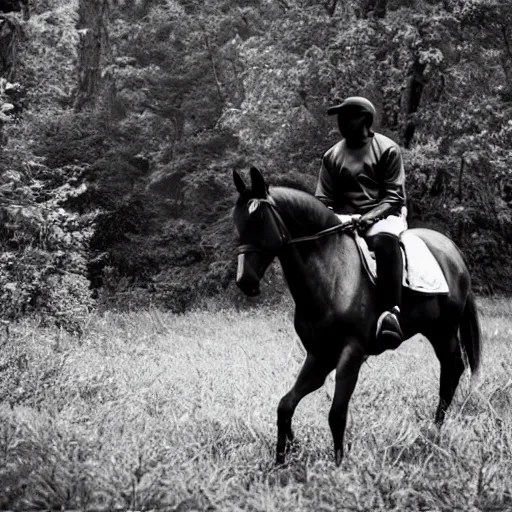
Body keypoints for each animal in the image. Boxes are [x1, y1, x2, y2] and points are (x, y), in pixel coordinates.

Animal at [232, 166, 480, 466]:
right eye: (236, 220)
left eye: (257, 218)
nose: (244, 281)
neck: (331, 273)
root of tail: (452, 252)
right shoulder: (320, 356)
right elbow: (285, 405)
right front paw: (281, 459)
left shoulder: (351, 352)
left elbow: (336, 415)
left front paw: (339, 467)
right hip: (435, 331)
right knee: (454, 369)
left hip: (444, 331)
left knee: (451, 371)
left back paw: (434, 433)